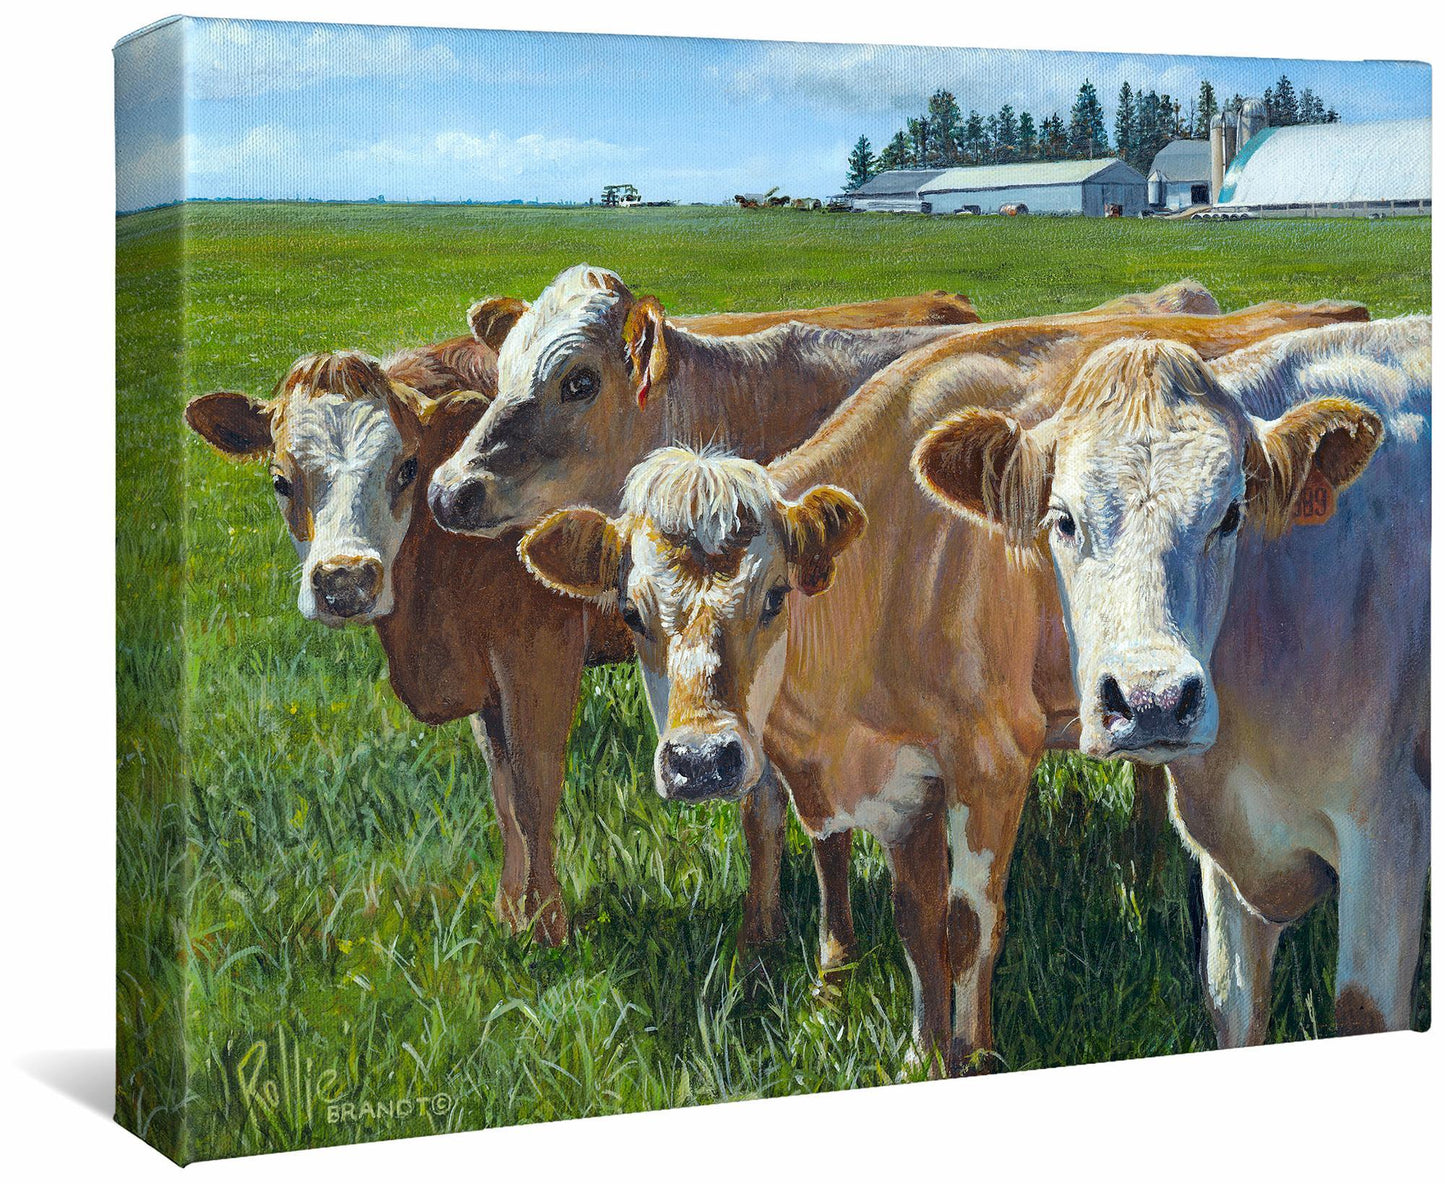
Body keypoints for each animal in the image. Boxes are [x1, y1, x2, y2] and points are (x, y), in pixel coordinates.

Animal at [184, 290, 983, 950]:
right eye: (281, 479)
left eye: (404, 468)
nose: (345, 581)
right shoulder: (488, 679)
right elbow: (503, 793)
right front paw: (511, 916)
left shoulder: (537, 653)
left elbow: (536, 791)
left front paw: (548, 932)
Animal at [515, 297, 1369, 1070]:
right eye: (631, 612)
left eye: (774, 595)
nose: (700, 763)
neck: (898, 556)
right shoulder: (898, 780)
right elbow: (911, 918)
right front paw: (921, 1049)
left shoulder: (989, 762)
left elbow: (967, 925)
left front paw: (974, 1051)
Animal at [916, 317, 1428, 1045]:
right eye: (1063, 519)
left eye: (1230, 515)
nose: (1152, 700)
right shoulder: (1226, 851)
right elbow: (1232, 1001)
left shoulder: (1388, 824)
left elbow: (1363, 1011)